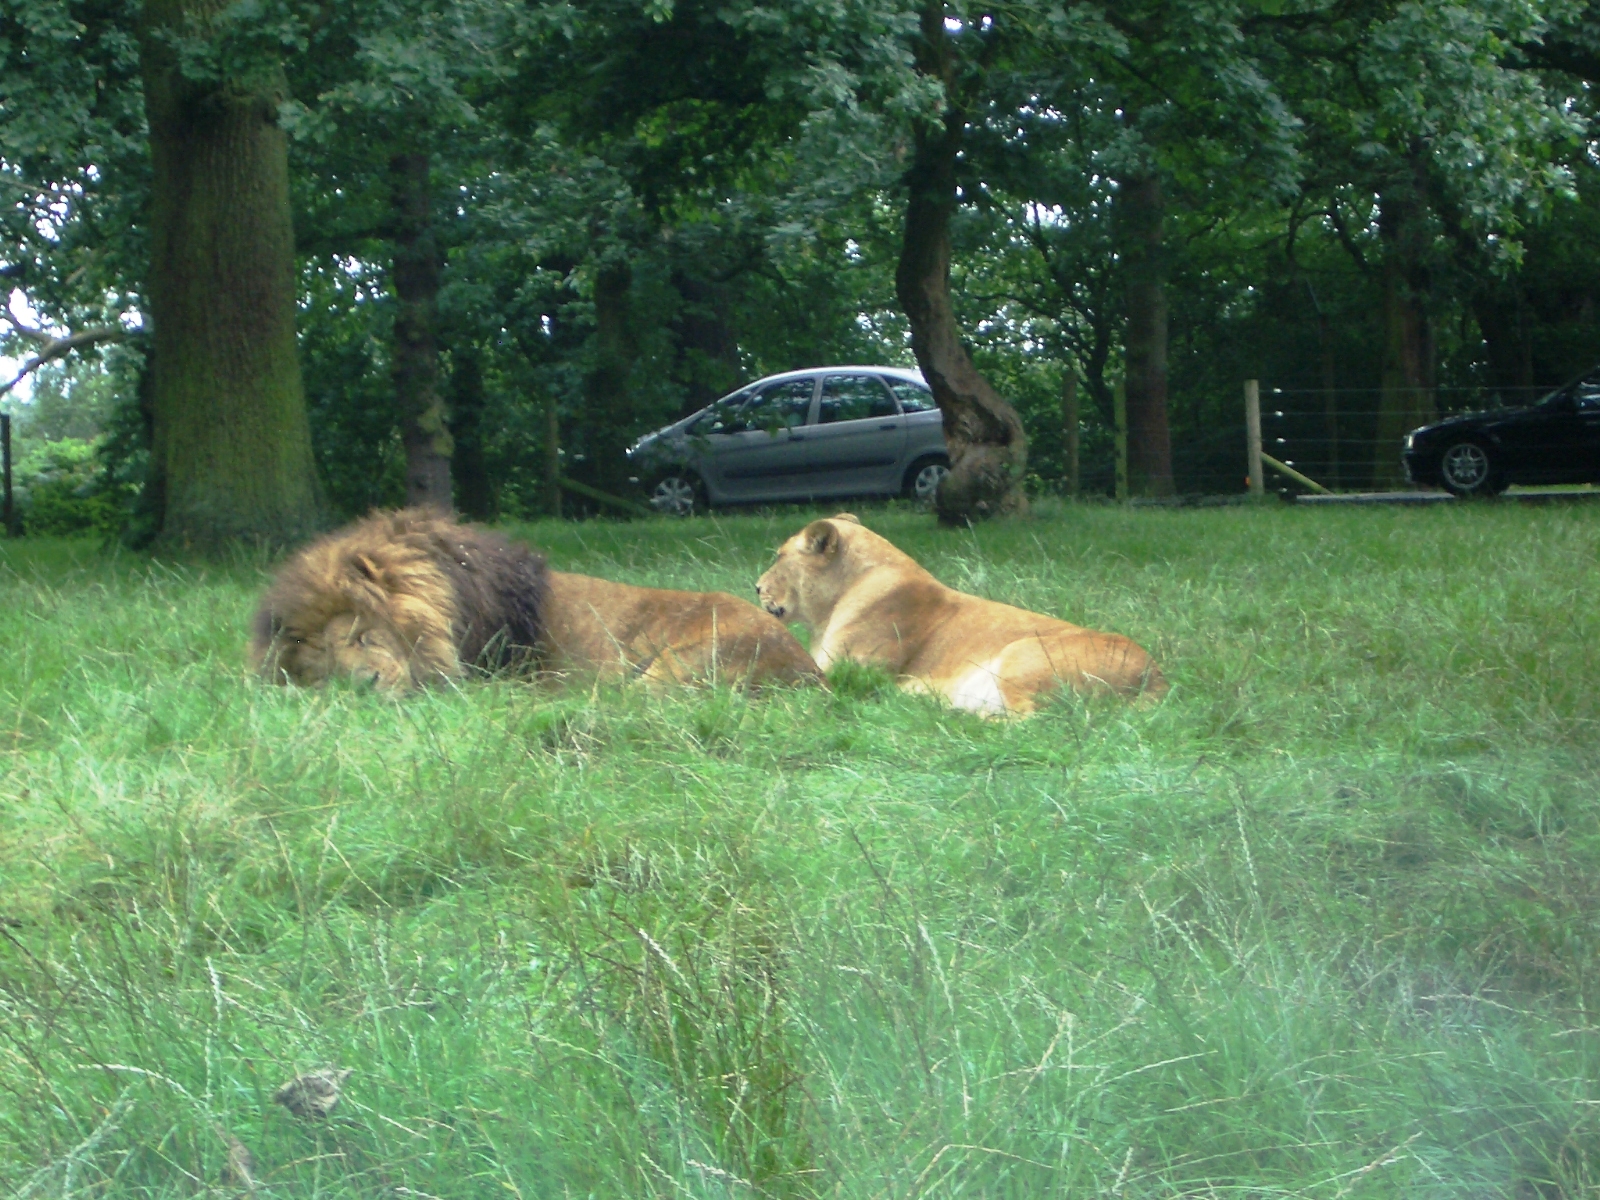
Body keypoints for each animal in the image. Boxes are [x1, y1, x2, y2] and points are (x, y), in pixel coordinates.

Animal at [754, 514, 1167, 716]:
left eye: (779, 556)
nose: (756, 588)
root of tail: (1156, 677)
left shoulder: (843, 675)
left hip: (1022, 653)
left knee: (1035, 721)